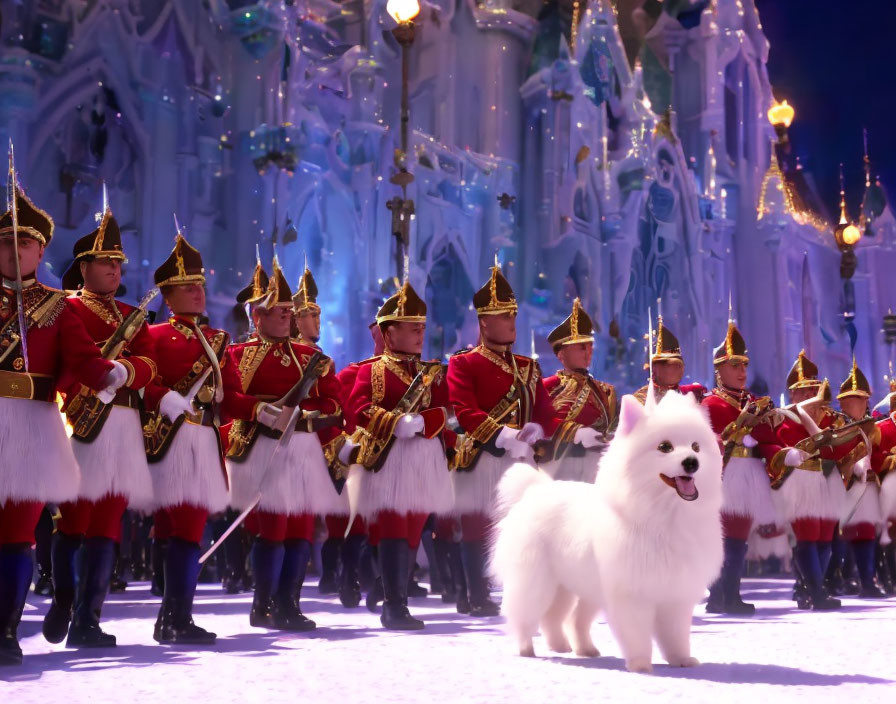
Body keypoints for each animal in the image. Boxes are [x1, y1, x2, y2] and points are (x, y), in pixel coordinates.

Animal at [494, 390, 724, 672]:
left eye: (696, 447)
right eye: (665, 447)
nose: (692, 462)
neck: (664, 516)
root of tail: (533, 491)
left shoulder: (675, 596)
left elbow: (676, 635)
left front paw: (681, 660)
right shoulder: (632, 595)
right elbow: (637, 634)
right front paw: (640, 665)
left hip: (574, 588)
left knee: (564, 619)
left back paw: (574, 648)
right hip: (537, 581)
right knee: (523, 616)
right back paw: (527, 650)